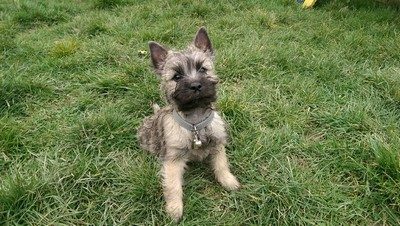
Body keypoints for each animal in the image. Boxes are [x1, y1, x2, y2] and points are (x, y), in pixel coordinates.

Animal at [138, 26, 238, 221]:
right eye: (176, 76)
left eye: (203, 69)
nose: (196, 86)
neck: (195, 123)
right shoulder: (173, 159)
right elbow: (173, 185)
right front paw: (174, 209)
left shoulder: (217, 144)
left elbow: (221, 165)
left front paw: (229, 181)